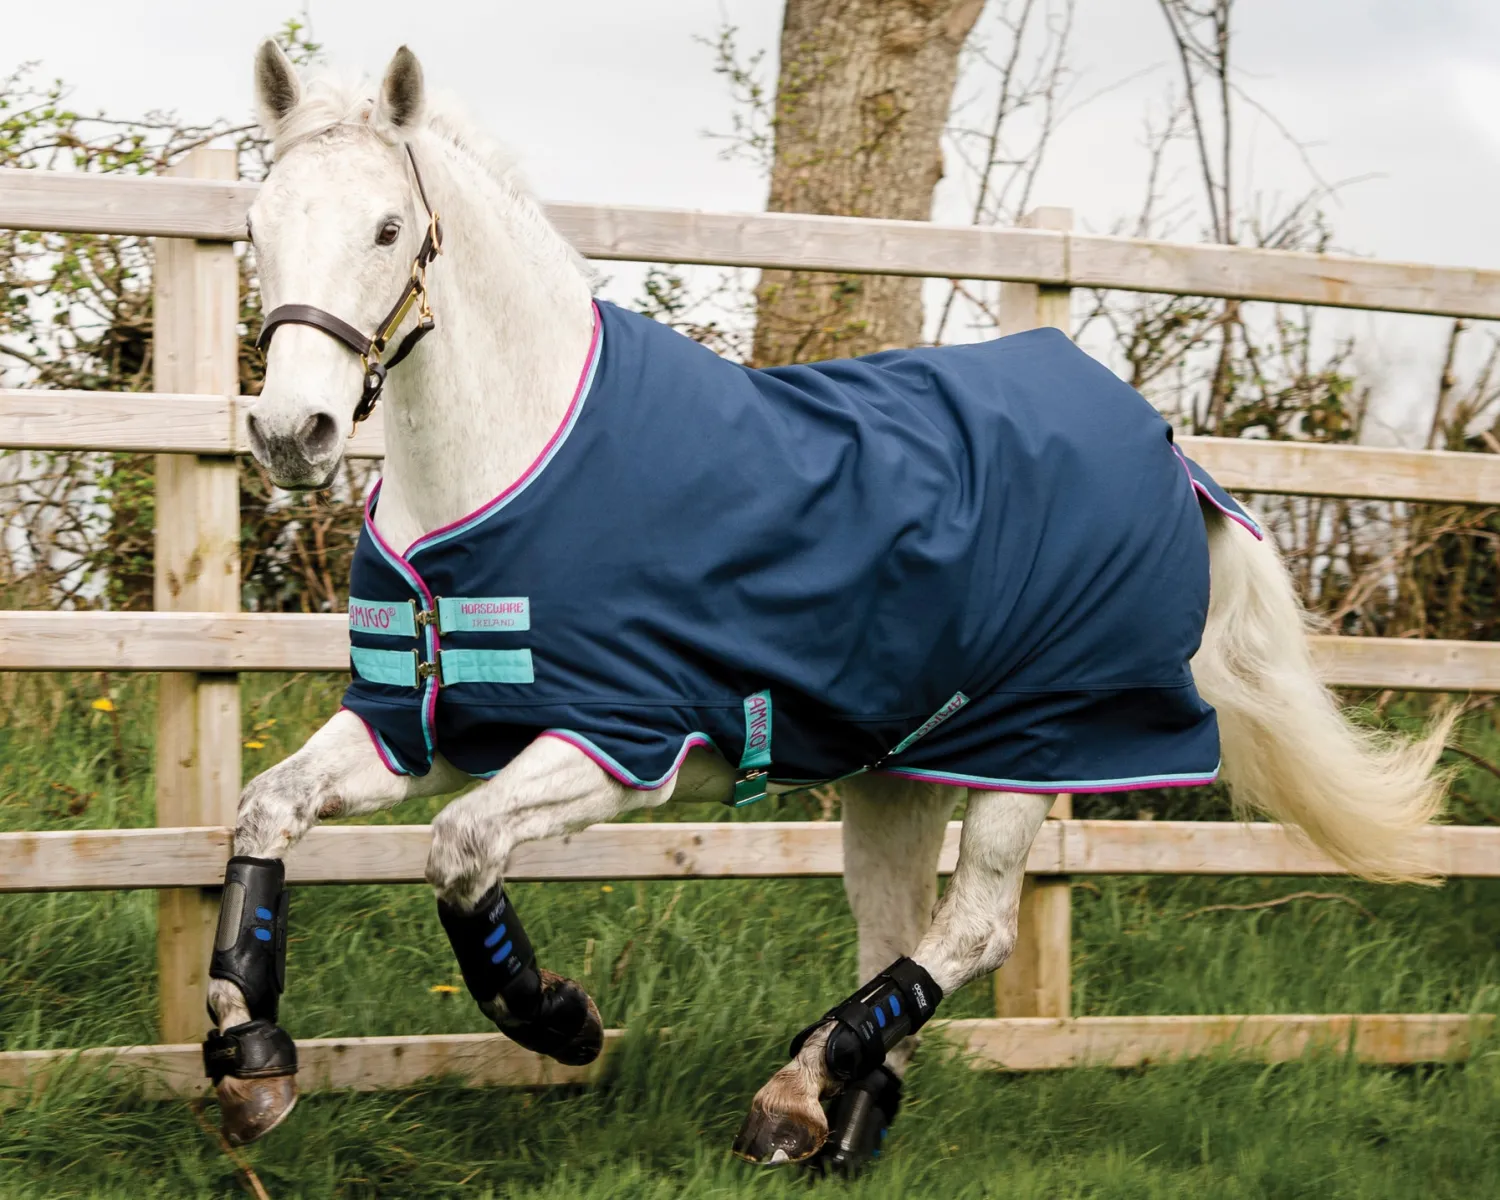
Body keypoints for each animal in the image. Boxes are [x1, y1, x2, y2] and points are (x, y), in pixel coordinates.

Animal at [205, 38, 1453, 1171]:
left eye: (386, 229)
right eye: (256, 228)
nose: (292, 433)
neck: (508, 469)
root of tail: (1171, 452)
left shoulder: (619, 745)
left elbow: (460, 854)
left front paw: (560, 1019)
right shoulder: (413, 729)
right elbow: (265, 811)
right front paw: (249, 1060)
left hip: (1039, 749)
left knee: (974, 927)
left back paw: (796, 1087)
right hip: (900, 770)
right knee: (896, 927)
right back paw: (839, 1116)